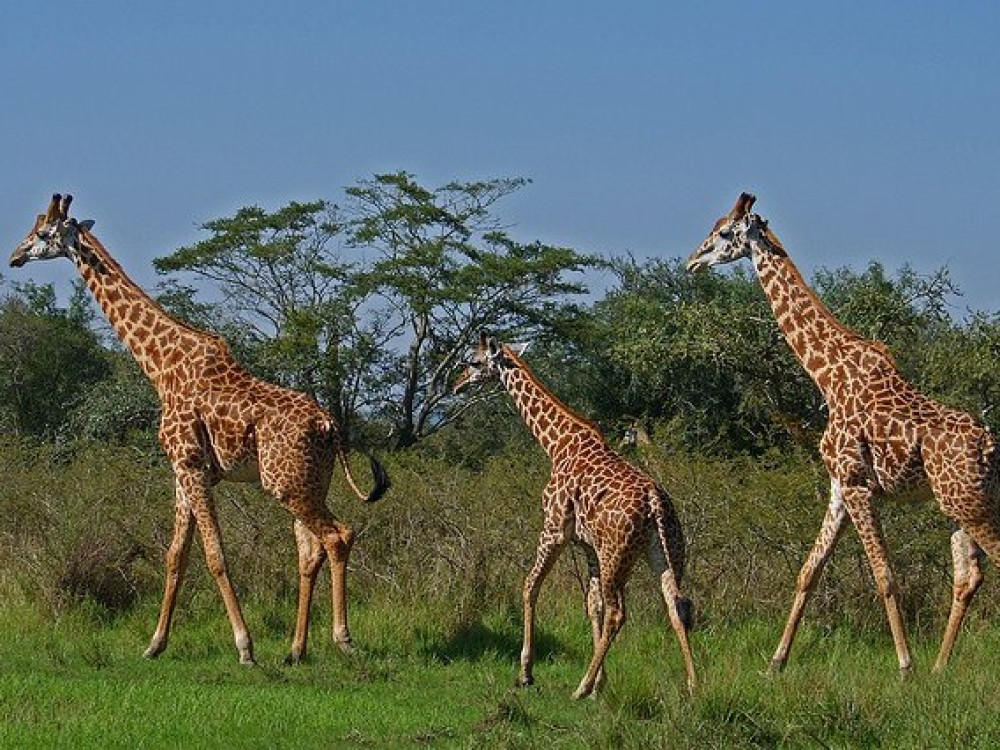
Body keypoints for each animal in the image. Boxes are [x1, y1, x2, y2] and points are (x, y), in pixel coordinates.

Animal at [10, 197, 390, 668]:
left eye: (43, 234)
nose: (15, 256)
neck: (160, 367)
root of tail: (330, 425)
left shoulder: (190, 466)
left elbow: (215, 556)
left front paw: (245, 648)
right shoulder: (184, 472)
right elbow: (176, 556)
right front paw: (155, 644)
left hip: (289, 486)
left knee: (339, 536)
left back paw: (343, 640)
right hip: (306, 483)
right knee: (310, 549)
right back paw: (296, 650)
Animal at [454, 334, 696, 700]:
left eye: (474, 361)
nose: (456, 384)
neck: (557, 444)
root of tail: (655, 504)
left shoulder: (554, 529)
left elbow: (530, 586)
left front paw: (526, 672)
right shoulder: (587, 544)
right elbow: (591, 604)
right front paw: (600, 684)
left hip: (617, 554)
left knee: (618, 613)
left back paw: (579, 688)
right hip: (665, 552)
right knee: (676, 605)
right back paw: (693, 684)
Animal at [688, 192, 1000, 676]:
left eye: (723, 232)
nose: (693, 261)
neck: (826, 374)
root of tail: (989, 445)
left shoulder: (857, 484)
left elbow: (884, 575)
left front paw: (905, 665)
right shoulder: (838, 486)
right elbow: (809, 571)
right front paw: (776, 661)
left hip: (967, 501)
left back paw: (931, 666)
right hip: (962, 502)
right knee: (968, 576)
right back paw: (940, 667)